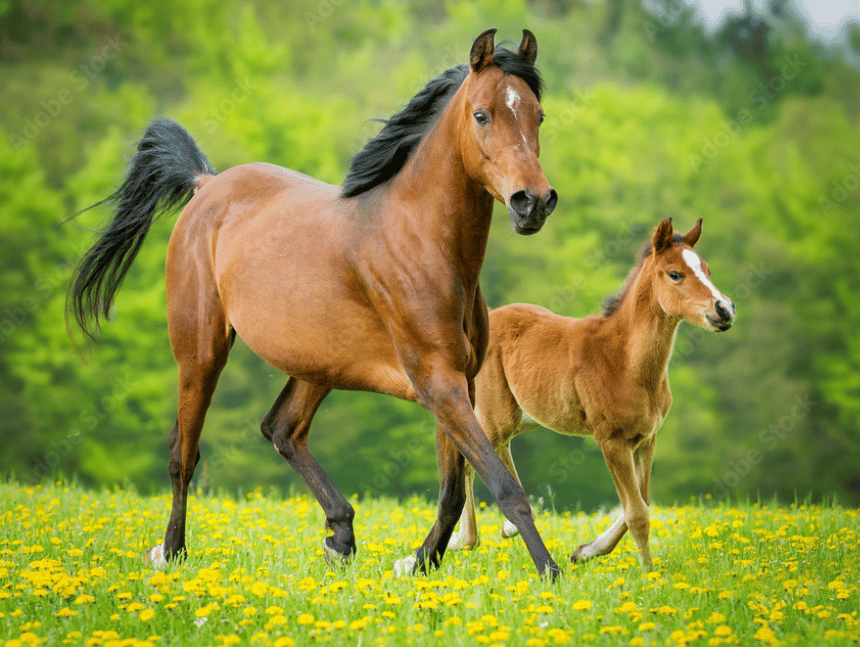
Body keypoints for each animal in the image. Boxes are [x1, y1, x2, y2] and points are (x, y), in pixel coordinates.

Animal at [446, 220, 736, 568]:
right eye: (675, 273)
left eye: (706, 269)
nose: (724, 309)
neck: (623, 360)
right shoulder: (610, 439)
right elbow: (637, 513)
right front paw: (649, 573)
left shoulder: (646, 439)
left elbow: (642, 502)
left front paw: (587, 550)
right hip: (497, 415)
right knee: (472, 453)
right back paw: (466, 539)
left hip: (521, 417)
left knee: (491, 452)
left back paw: (501, 529)